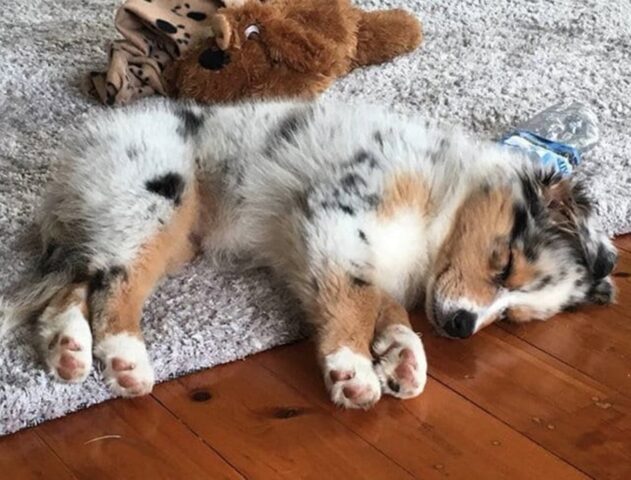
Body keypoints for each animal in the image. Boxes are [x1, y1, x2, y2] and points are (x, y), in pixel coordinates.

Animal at [4, 100, 616, 408]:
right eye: (504, 265)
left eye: (512, 316)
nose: (463, 328)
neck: (443, 204)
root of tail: (73, 161)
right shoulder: (338, 220)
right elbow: (356, 300)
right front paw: (353, 370)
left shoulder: (351, 255)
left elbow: (386, 305)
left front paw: (404, 358)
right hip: (157, 195)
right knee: (114, 281)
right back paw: (124, 358)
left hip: (141, 228)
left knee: (77, 282)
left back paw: (68, 350)